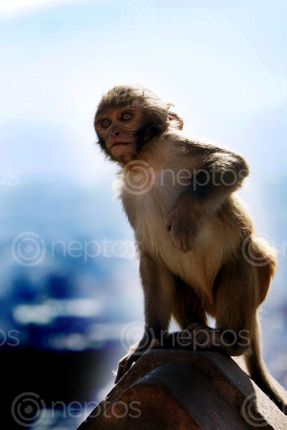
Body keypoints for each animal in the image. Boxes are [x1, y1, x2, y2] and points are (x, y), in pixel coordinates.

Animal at [94, 85, 287, 414]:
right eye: (106, 123)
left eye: (126, 116)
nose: (115, 132)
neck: (145, 160)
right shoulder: (128, 195)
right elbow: (152, 259)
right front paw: (150, 339)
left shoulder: (173, 144)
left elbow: (232, 162)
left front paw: (186, 215)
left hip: (255, 287)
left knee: (244, 255)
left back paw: (229, 341)